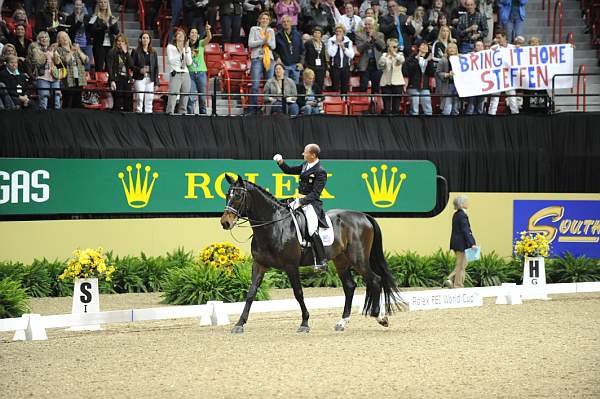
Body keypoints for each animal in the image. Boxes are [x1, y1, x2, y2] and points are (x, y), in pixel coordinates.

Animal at [218, 175, 406, 334]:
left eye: (238, 196)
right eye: (227, 194)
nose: (225, 222)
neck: (273, 226)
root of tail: (364, 216)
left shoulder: (291, 266)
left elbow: (298, 293)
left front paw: (304, 323)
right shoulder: (259, 264)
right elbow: (251, 293)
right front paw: (239, 324)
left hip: (358, 259)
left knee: (375, 280)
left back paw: (379, 317)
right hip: (341, 261)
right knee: (350, 286)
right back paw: (342, 322)